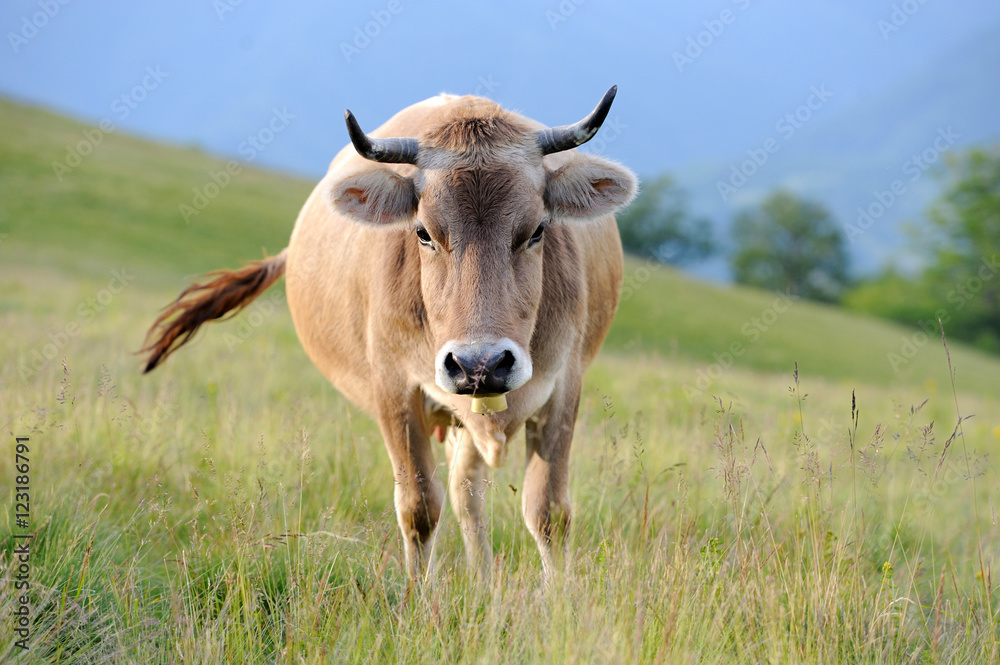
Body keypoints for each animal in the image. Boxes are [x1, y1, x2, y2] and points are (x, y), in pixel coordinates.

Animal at [144, 85, 636, 580]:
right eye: (423, 233)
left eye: (536, 230)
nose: (480, 364)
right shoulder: (394, 390)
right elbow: (419, 509)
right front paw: (418, 597)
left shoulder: (565, 387)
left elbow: (548, 512)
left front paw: (560, 598)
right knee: (463, 491)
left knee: (467, 488)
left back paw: (484, 585)